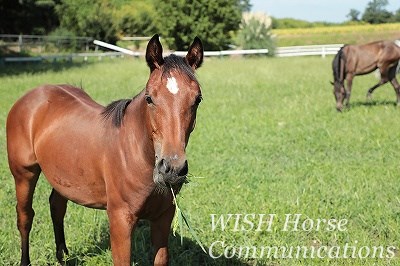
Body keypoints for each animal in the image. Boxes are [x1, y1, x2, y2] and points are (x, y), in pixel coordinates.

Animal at [7, 34, 203, 266]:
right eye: (149, 98)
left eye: (197, 99)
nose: (172, 169)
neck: (135, 154)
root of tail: (31, 96)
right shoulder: (120, 220)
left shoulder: (163, 217)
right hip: (24, 174)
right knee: (25, 216)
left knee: (57, 207)